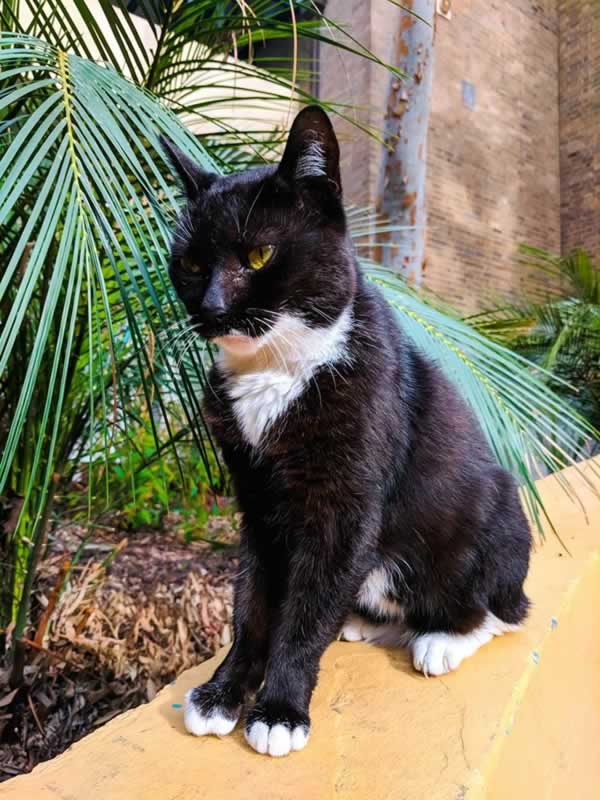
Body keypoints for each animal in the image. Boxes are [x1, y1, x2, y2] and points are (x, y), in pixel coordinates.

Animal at [161, 106, 532, 758]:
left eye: (260, 255)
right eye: (192, 264)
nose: (211, 307)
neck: (278, 368)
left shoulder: (345, 503)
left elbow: (305, 613)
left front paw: (280, 710)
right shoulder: (257, 502)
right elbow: (253, 601)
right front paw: (223, 691)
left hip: (498, 510)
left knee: (499, 610)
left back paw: (441, 638)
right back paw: (364, 619)